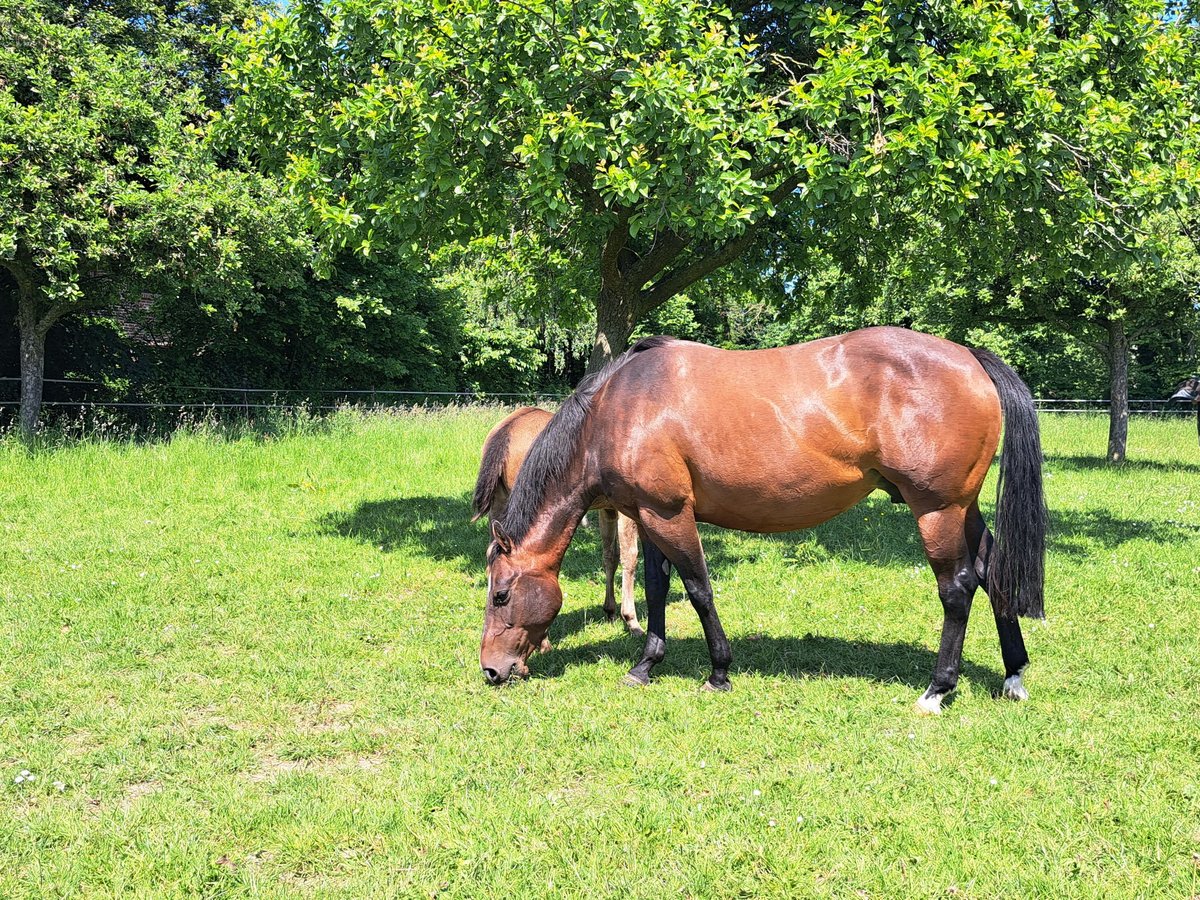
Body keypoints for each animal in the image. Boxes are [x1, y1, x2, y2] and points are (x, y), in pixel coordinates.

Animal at [472, 406, 642, 635]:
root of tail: (505, 431)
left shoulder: (608, 508)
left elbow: (610, 556)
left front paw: (610, 610)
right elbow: (630, 557)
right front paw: (631, 619)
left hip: (500, 507)